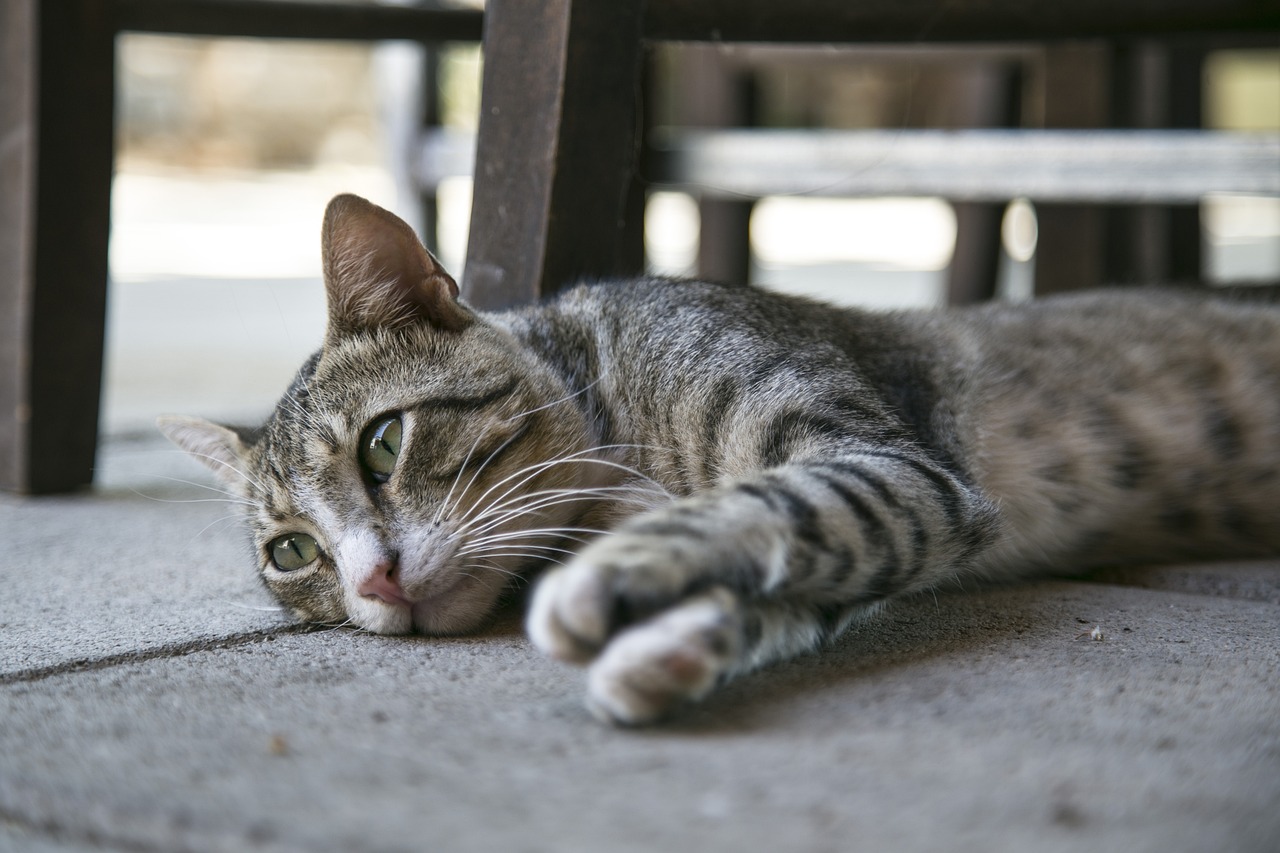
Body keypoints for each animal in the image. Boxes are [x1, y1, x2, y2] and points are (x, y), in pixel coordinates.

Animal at [160, 190, 1280, 717]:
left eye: (384, 442)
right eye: (293, 553)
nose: (373, 581)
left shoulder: (894, 467)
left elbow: (777, 502)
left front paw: (610, 583)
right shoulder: (903, 520)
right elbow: (803, 575)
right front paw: (670, 647)